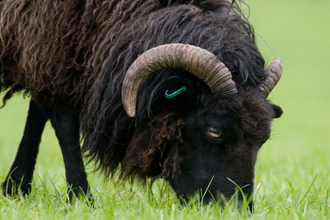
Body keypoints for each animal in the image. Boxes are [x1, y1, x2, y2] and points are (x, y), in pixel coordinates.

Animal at [0, 0, 284, 208]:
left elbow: (37, 113)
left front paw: (15, 187)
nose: (237, 210)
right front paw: (81, 198)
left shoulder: (46, 50)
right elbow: (63, 121)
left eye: (263, 140)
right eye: (214, 131)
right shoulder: (50, 43)